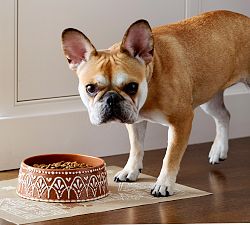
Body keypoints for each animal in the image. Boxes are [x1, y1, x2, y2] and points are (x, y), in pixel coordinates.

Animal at [61, 10, 250, 197]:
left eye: (132, 86)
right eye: (90, 88)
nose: (112, 98)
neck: (151, 80)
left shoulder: (181, 121)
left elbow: (170, 157)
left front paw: (164, 184)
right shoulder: (135, 121)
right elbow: (136, 147)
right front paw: (130, 170)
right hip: (209, 95)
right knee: (223, 116)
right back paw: (219, 150)